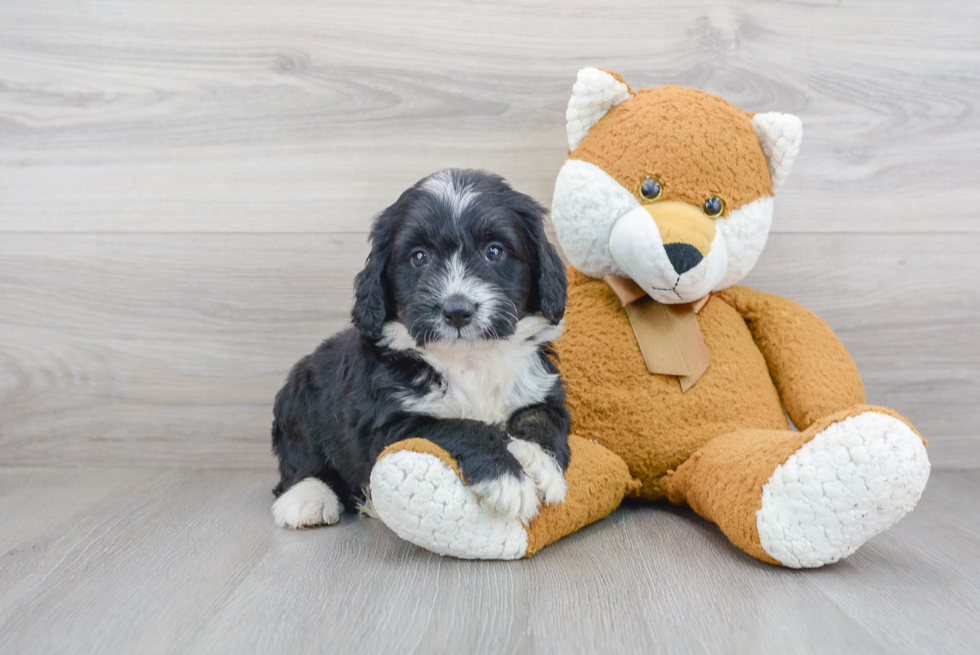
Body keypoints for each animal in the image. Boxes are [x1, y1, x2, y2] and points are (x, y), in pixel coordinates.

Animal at [272, 170, 572, 532]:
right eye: (419, 257)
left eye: (494, 251)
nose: (457, 311)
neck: (470, 357)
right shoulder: (389, 424)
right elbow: (455, 426)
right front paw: (508, 478)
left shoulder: (543, 391)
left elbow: (541, 416)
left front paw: (537, 461)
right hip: (299, 397)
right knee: (300, 463)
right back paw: (308, 499)